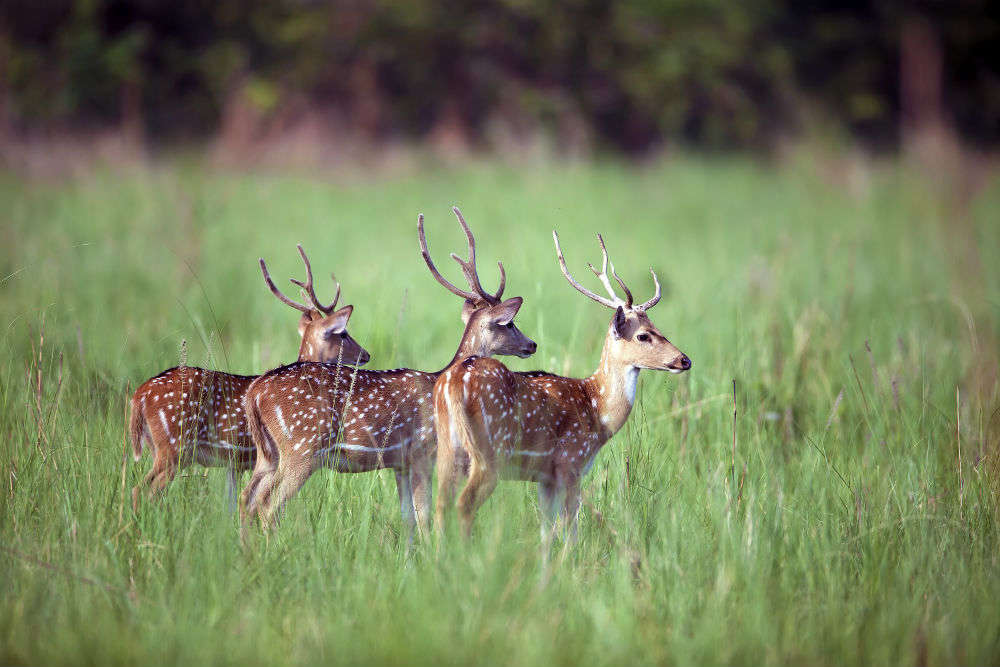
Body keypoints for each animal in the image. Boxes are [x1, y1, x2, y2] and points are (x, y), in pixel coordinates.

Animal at [127, 245, 370, 512]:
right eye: (343, 333)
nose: (366, 354)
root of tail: (139, 395)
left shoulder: (237, 463)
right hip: (173, 445)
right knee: (141, 489)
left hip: (158, 447)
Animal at [238, 206, 536, 540]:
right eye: (509, 323)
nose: (532, 344)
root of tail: (254, 394)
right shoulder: (422, 451)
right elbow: (424, 516)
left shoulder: (399, 463)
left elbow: (408, 519)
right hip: (301, 447)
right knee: (268, 505)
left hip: (268, 454)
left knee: (248, 497)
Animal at [434, 232, 692, 540]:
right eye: (643, 335)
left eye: (658, 327)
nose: (684, 360)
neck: (598, 412)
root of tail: (452, 382)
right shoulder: (571, 462)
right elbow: (571, 528)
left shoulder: (546, 477)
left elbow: (547, 530)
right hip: (489, 451)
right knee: (464, 504)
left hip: (447, 449)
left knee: (439, 505)